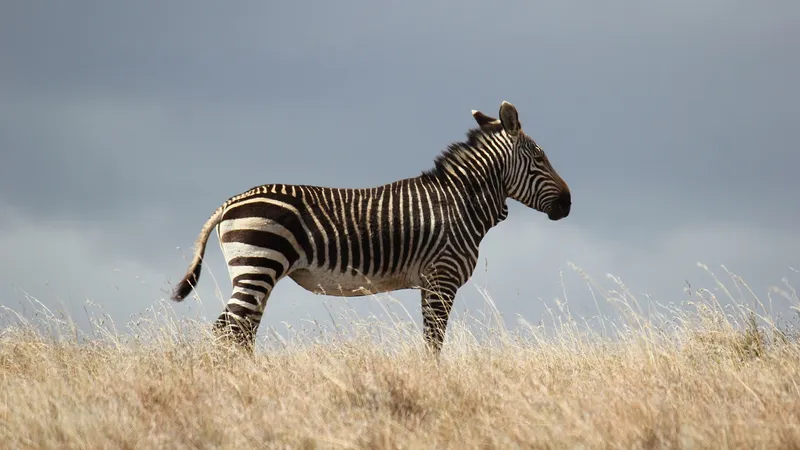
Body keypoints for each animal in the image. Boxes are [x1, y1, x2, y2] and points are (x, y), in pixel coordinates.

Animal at [170, 100, 568, 354]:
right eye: (539, 158)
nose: (568, 204)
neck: (460, 202)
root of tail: (230, 202)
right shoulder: (441, 277)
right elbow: (434, 340)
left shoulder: (431, 282)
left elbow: (431, 339)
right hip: (259, 264)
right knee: (228, 329)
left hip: (255, 271)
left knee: (241, 331)